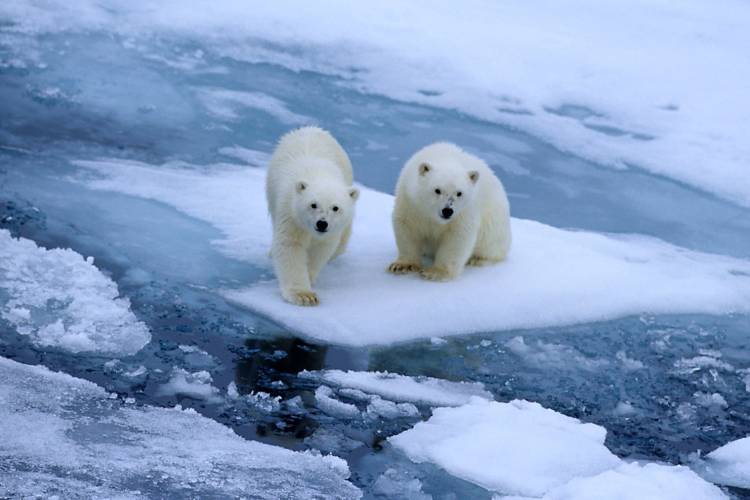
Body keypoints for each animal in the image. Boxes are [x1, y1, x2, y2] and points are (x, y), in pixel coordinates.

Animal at [266, 126, 360, 304]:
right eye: (313, 204)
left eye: (335, 208)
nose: (322, 223)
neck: (320, 175)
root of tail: (311, 128)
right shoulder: (291, 213)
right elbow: (290, 245)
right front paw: (303, 295)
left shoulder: (331, 231)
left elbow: (321, 248)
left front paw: (309, 278)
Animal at [388, 143, 512, 282]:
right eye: (437, 190)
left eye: (459, 193)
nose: (447, 210)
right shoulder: (410, 201)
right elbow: (407, 226)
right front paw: (403, 265)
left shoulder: (465, 211)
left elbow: (457, 236)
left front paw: (435, 272)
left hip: (495, 223)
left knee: (491, 245)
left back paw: (477, 259)